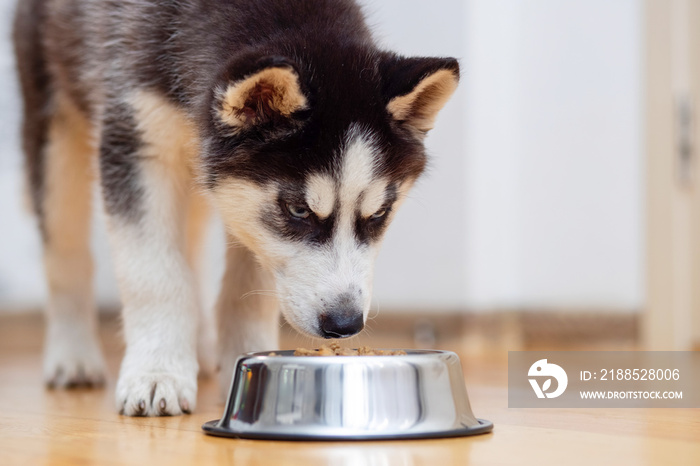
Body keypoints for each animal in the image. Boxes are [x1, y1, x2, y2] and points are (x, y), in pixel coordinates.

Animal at [12, 0, 460, 416]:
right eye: (298, 210)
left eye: (379, 214)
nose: (345, 324)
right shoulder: (136, 144)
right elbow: (155, 275)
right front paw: (156, 374)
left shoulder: (243, 203)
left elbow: (249, 285)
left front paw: (246, 356)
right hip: (55, 126)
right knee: (65, 249)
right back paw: (73, 355)